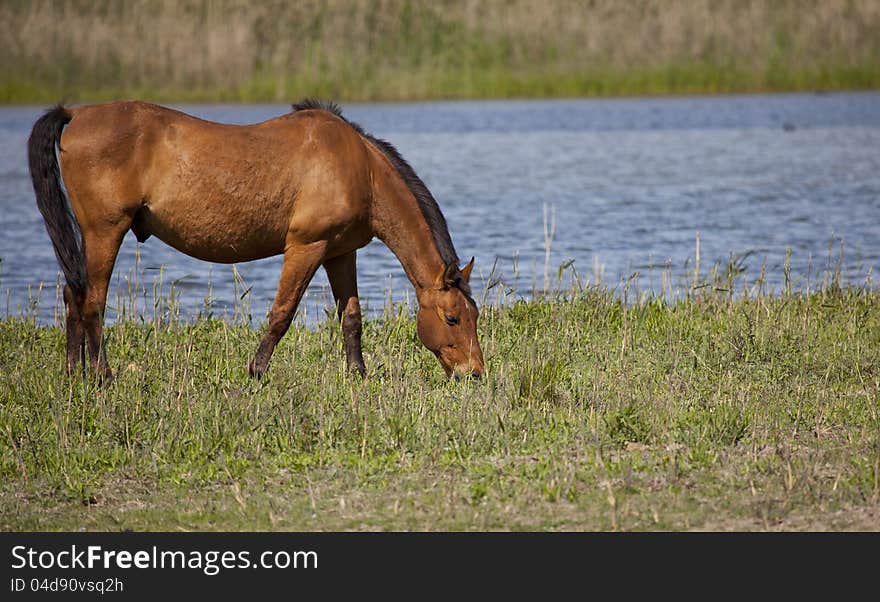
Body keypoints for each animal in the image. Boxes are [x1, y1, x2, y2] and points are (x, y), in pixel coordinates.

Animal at [27, 98, 484, 380]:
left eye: (474, 316)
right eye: (452, 318)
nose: (475, 373)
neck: (361, 168)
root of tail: (74, 113)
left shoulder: (340, 253)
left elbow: (351, 318)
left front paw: (358, 376)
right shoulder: (306, 246)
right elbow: (282, 313)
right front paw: (257, 371)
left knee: (73, 294)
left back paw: (73, 372)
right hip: (105, 230)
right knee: (92, 301)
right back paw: (103, 376)